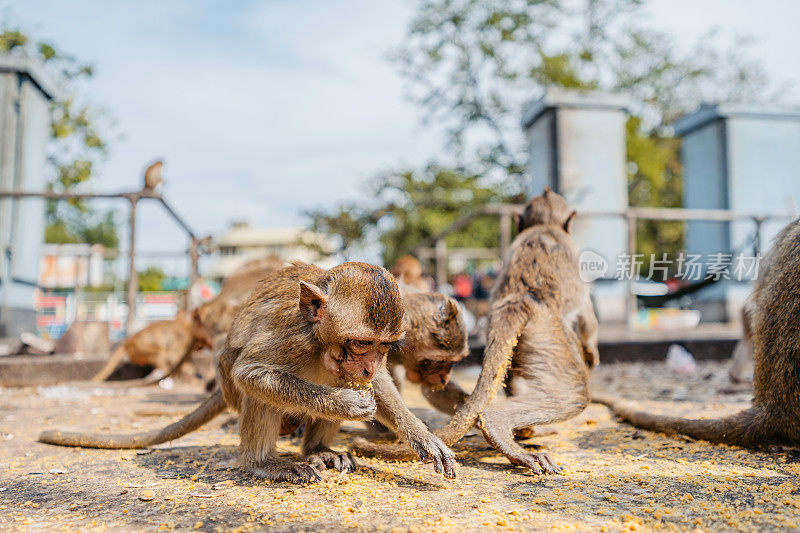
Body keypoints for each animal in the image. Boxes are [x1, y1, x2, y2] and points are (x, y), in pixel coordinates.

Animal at [40, 260, 456, 482]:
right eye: (359, 343)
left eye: (384, 346)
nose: (367, 365)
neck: (319, 341)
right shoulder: (292, 337)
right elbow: (251, 372)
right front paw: (345, 403)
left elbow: (380, 387)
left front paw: (425, 438)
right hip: (233, 393)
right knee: (253, 390)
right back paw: (262, 464)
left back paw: (319, 450)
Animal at [350, 188, 600, 474]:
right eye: (433, 363)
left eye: (445, 365)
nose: (442, 376)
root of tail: (518, 302)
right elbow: (586, 311)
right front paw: (592, 351)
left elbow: (432, 392)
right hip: (551, 337)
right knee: (574, 394)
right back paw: (496, 423)